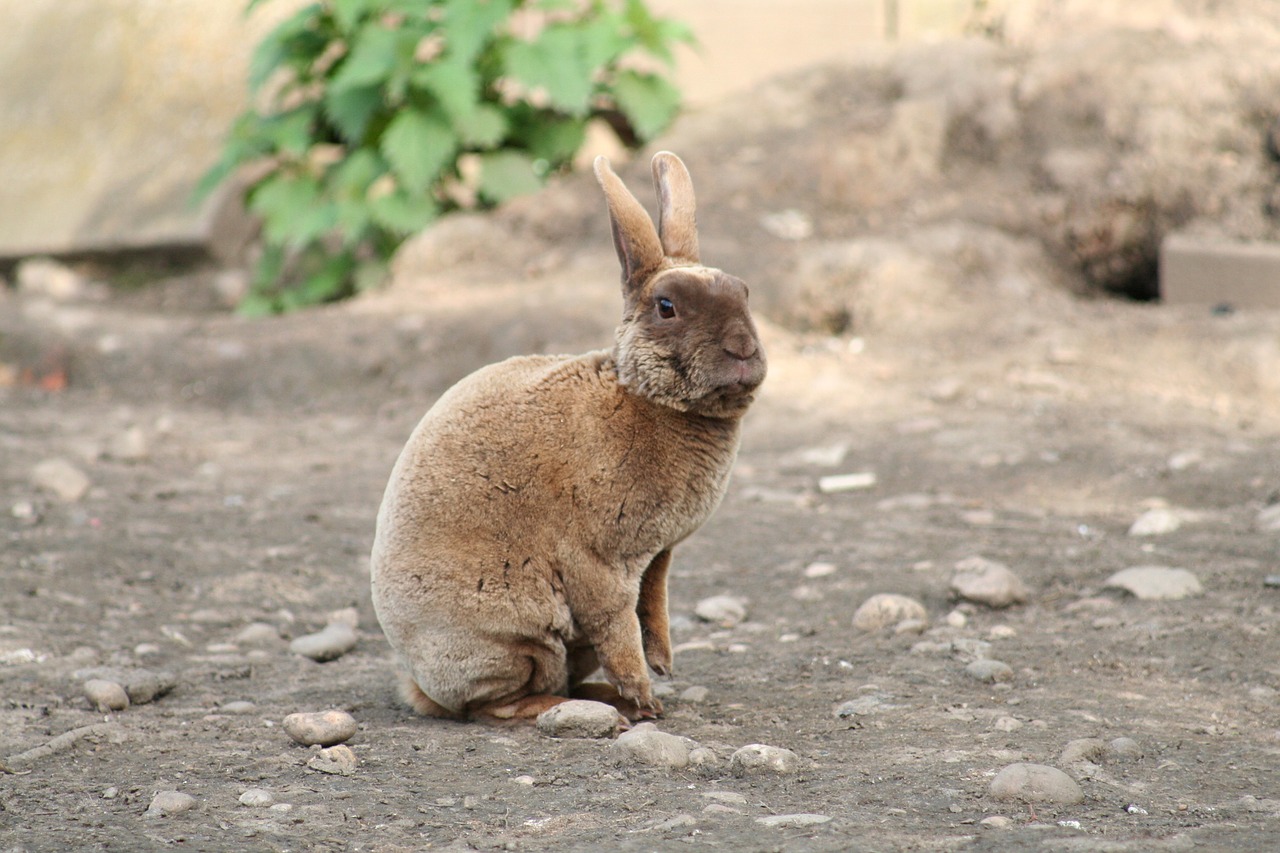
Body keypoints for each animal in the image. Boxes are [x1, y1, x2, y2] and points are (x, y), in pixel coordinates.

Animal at [369, 151, 766, 723]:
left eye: (744, 292)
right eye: (666, 306)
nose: (743, 349)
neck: (648, 398)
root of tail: (422, 687)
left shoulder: (658, 557)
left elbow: (653, 607)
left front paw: (663, 668)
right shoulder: (596, 559)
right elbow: (617, 623)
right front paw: (647, 699)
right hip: (517, 638)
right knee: (496, 704)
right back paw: (576, 705)